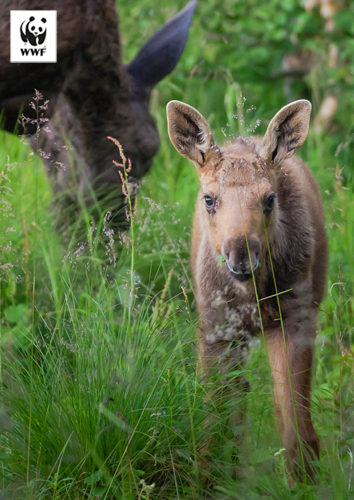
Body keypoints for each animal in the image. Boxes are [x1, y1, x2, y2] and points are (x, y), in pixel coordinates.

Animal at [167, 100, 328, 480]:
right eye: (208, 199)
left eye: (269, 199)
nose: (241, 252)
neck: (252, 296)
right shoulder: (216, 329)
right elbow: (214, 424)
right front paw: (210, 480)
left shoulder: (295, 318)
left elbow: (296, 426)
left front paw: (304, 481)